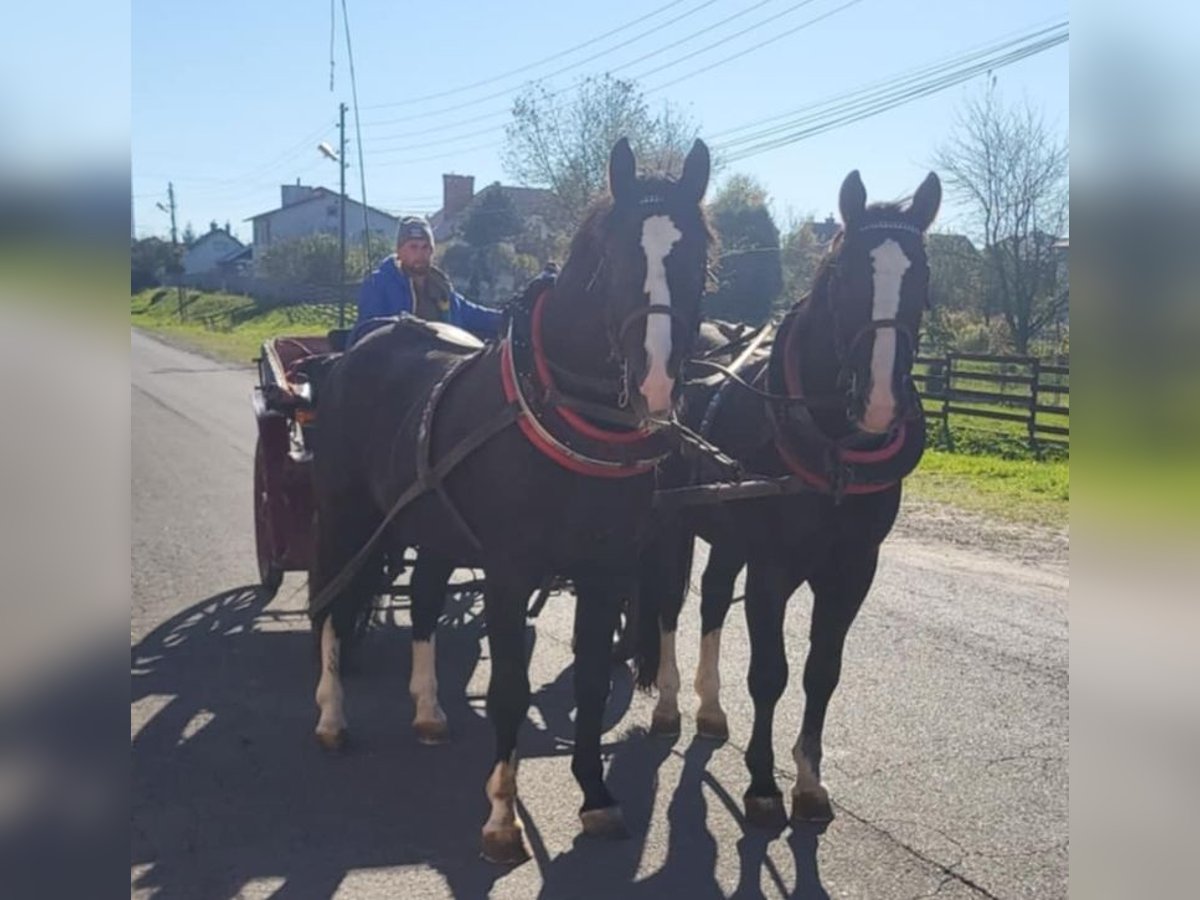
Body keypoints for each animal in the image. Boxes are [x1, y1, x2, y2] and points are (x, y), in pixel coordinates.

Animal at [304, 137, 710, 864]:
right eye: (614, 259)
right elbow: (509, 690)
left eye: (699, 257)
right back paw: (330, 716)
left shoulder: (606, 570)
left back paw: (429, 711)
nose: (658, 384)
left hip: (428, 524)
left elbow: (590, 679)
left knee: (425, 603)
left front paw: (596, 797)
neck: (563, 413)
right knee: (330, 604)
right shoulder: (510, 570)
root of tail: (355, 351)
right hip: (345, 517)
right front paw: (499, 817)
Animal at [643, 168, 940, 830]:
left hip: (727, 532)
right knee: (670, 604)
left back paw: (709, 709)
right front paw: (761, 784)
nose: (881, 402)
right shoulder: (773, 567)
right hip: (673, 521)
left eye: (923, 278)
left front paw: (807, 781)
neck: (830, 446)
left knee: (713, 598)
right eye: (846, 276)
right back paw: (670, 707)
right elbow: (770, 674)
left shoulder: (852, 569)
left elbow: (821, 673)